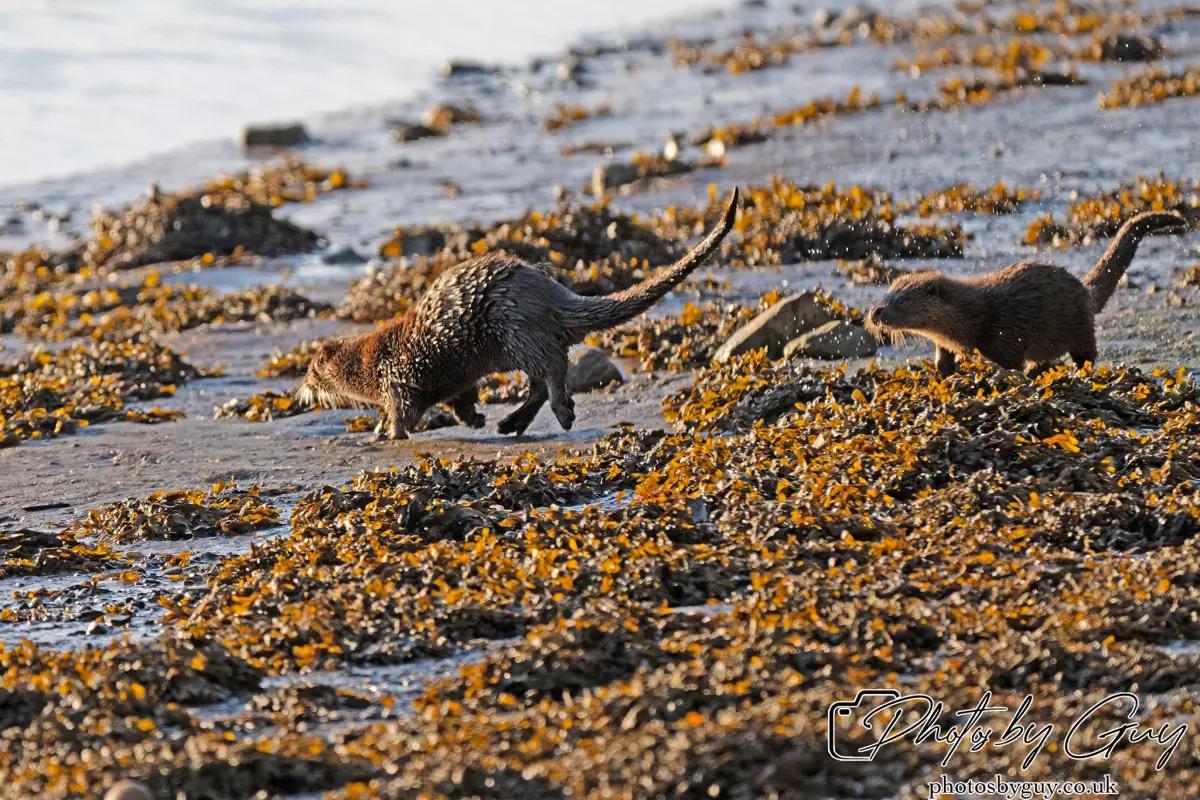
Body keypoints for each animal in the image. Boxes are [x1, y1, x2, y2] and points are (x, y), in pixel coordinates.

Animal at [299, 188, 740, 439]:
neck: (372, 359)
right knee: (539, 382)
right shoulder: (448, 380)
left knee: (553, 368)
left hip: (513, 330)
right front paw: (473, 420)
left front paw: (378, 435)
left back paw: (561, 413)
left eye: (310, 371)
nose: (302, 389)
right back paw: (511, 424)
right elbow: (460, 398)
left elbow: (400, 415)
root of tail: (550, 296)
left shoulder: (396, 381)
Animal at [866, 210, 1186, 376]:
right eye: (885, 295)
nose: (874, 312)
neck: (973, 316)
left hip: (1081, 325)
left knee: (1086, 354)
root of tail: (1084, 289)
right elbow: (943, 359)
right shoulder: (946, 343)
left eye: (901, 300)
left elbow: (1011, 366)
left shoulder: (1005, 338)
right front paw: (942, 375)